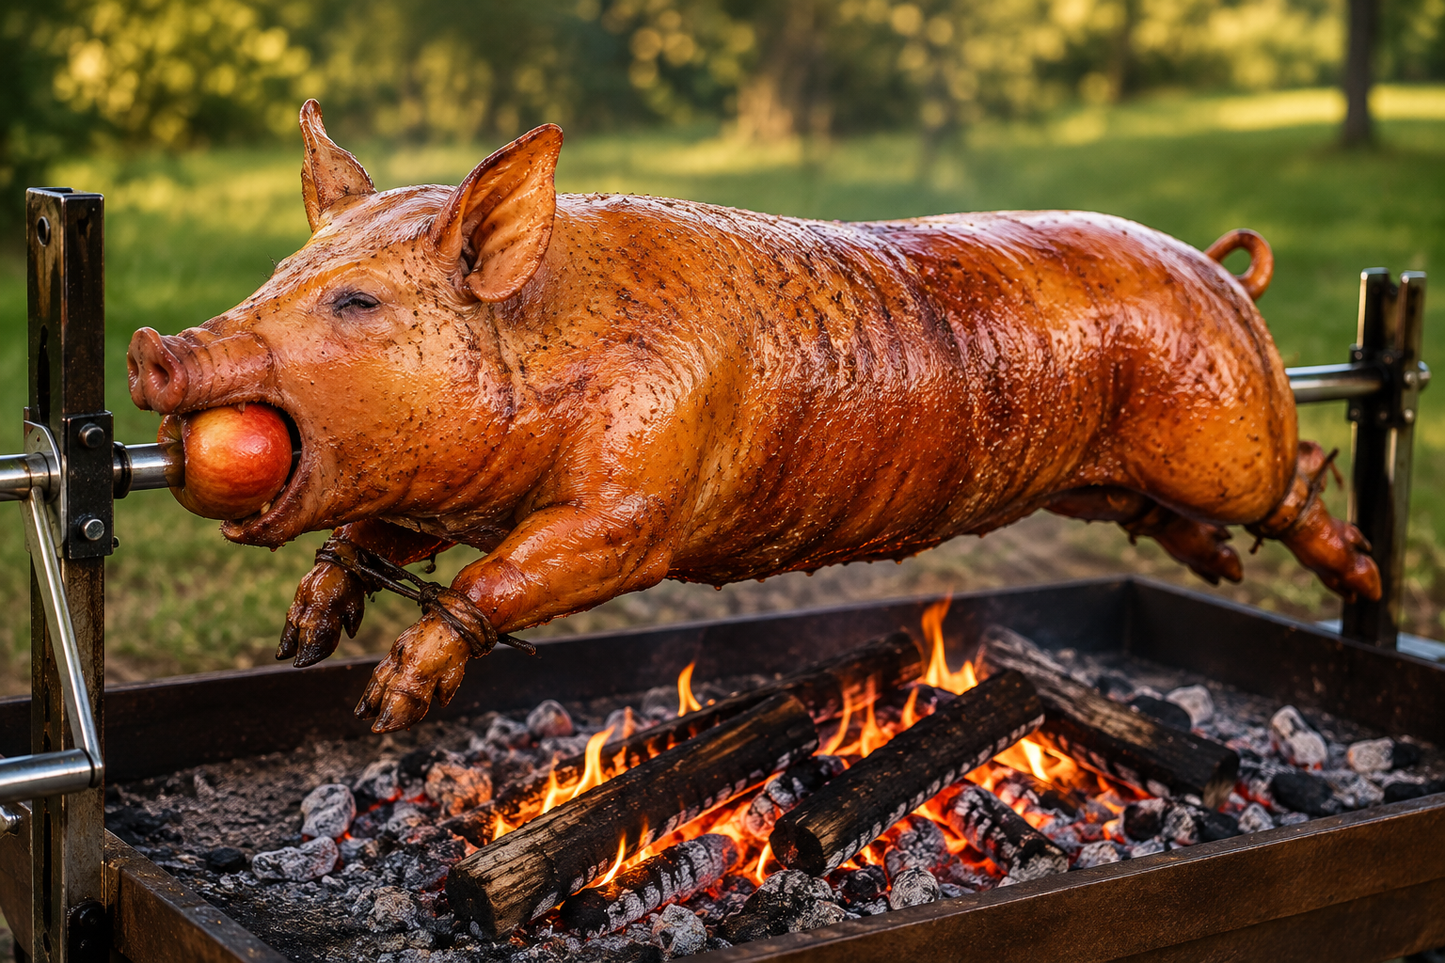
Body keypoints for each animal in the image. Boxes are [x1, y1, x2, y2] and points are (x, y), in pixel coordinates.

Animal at [127, 101, 1378, 732]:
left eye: (357, 302)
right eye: (284, 268)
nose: (151, 353)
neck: (551, 342)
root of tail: (1223, 274)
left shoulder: (633, 513)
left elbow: (509, 575)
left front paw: (385, 709)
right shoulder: (445, 486)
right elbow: (374, 530)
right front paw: (303, 639)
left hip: (1224, 432)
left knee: (1293, 479)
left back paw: (1357, 581)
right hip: (1097, 477)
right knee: (1165, 520)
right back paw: (1222, 572)